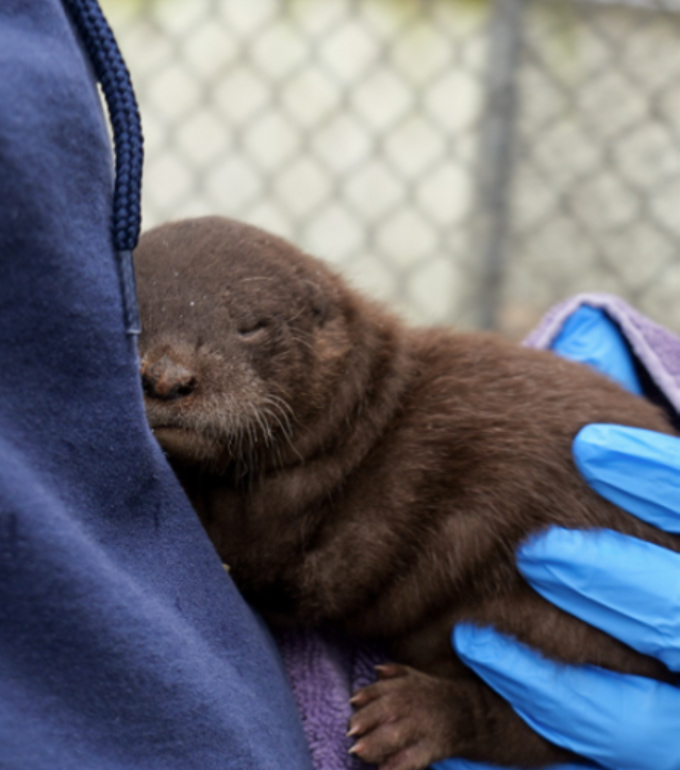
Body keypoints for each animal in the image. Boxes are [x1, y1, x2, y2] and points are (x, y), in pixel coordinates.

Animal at [134, 216, 678, 770]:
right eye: (132, 317)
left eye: (250, 326)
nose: (167, 377)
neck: (355, 419)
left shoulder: (287, 529)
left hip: (549, 624)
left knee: (537, 723)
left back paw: (409, 717)